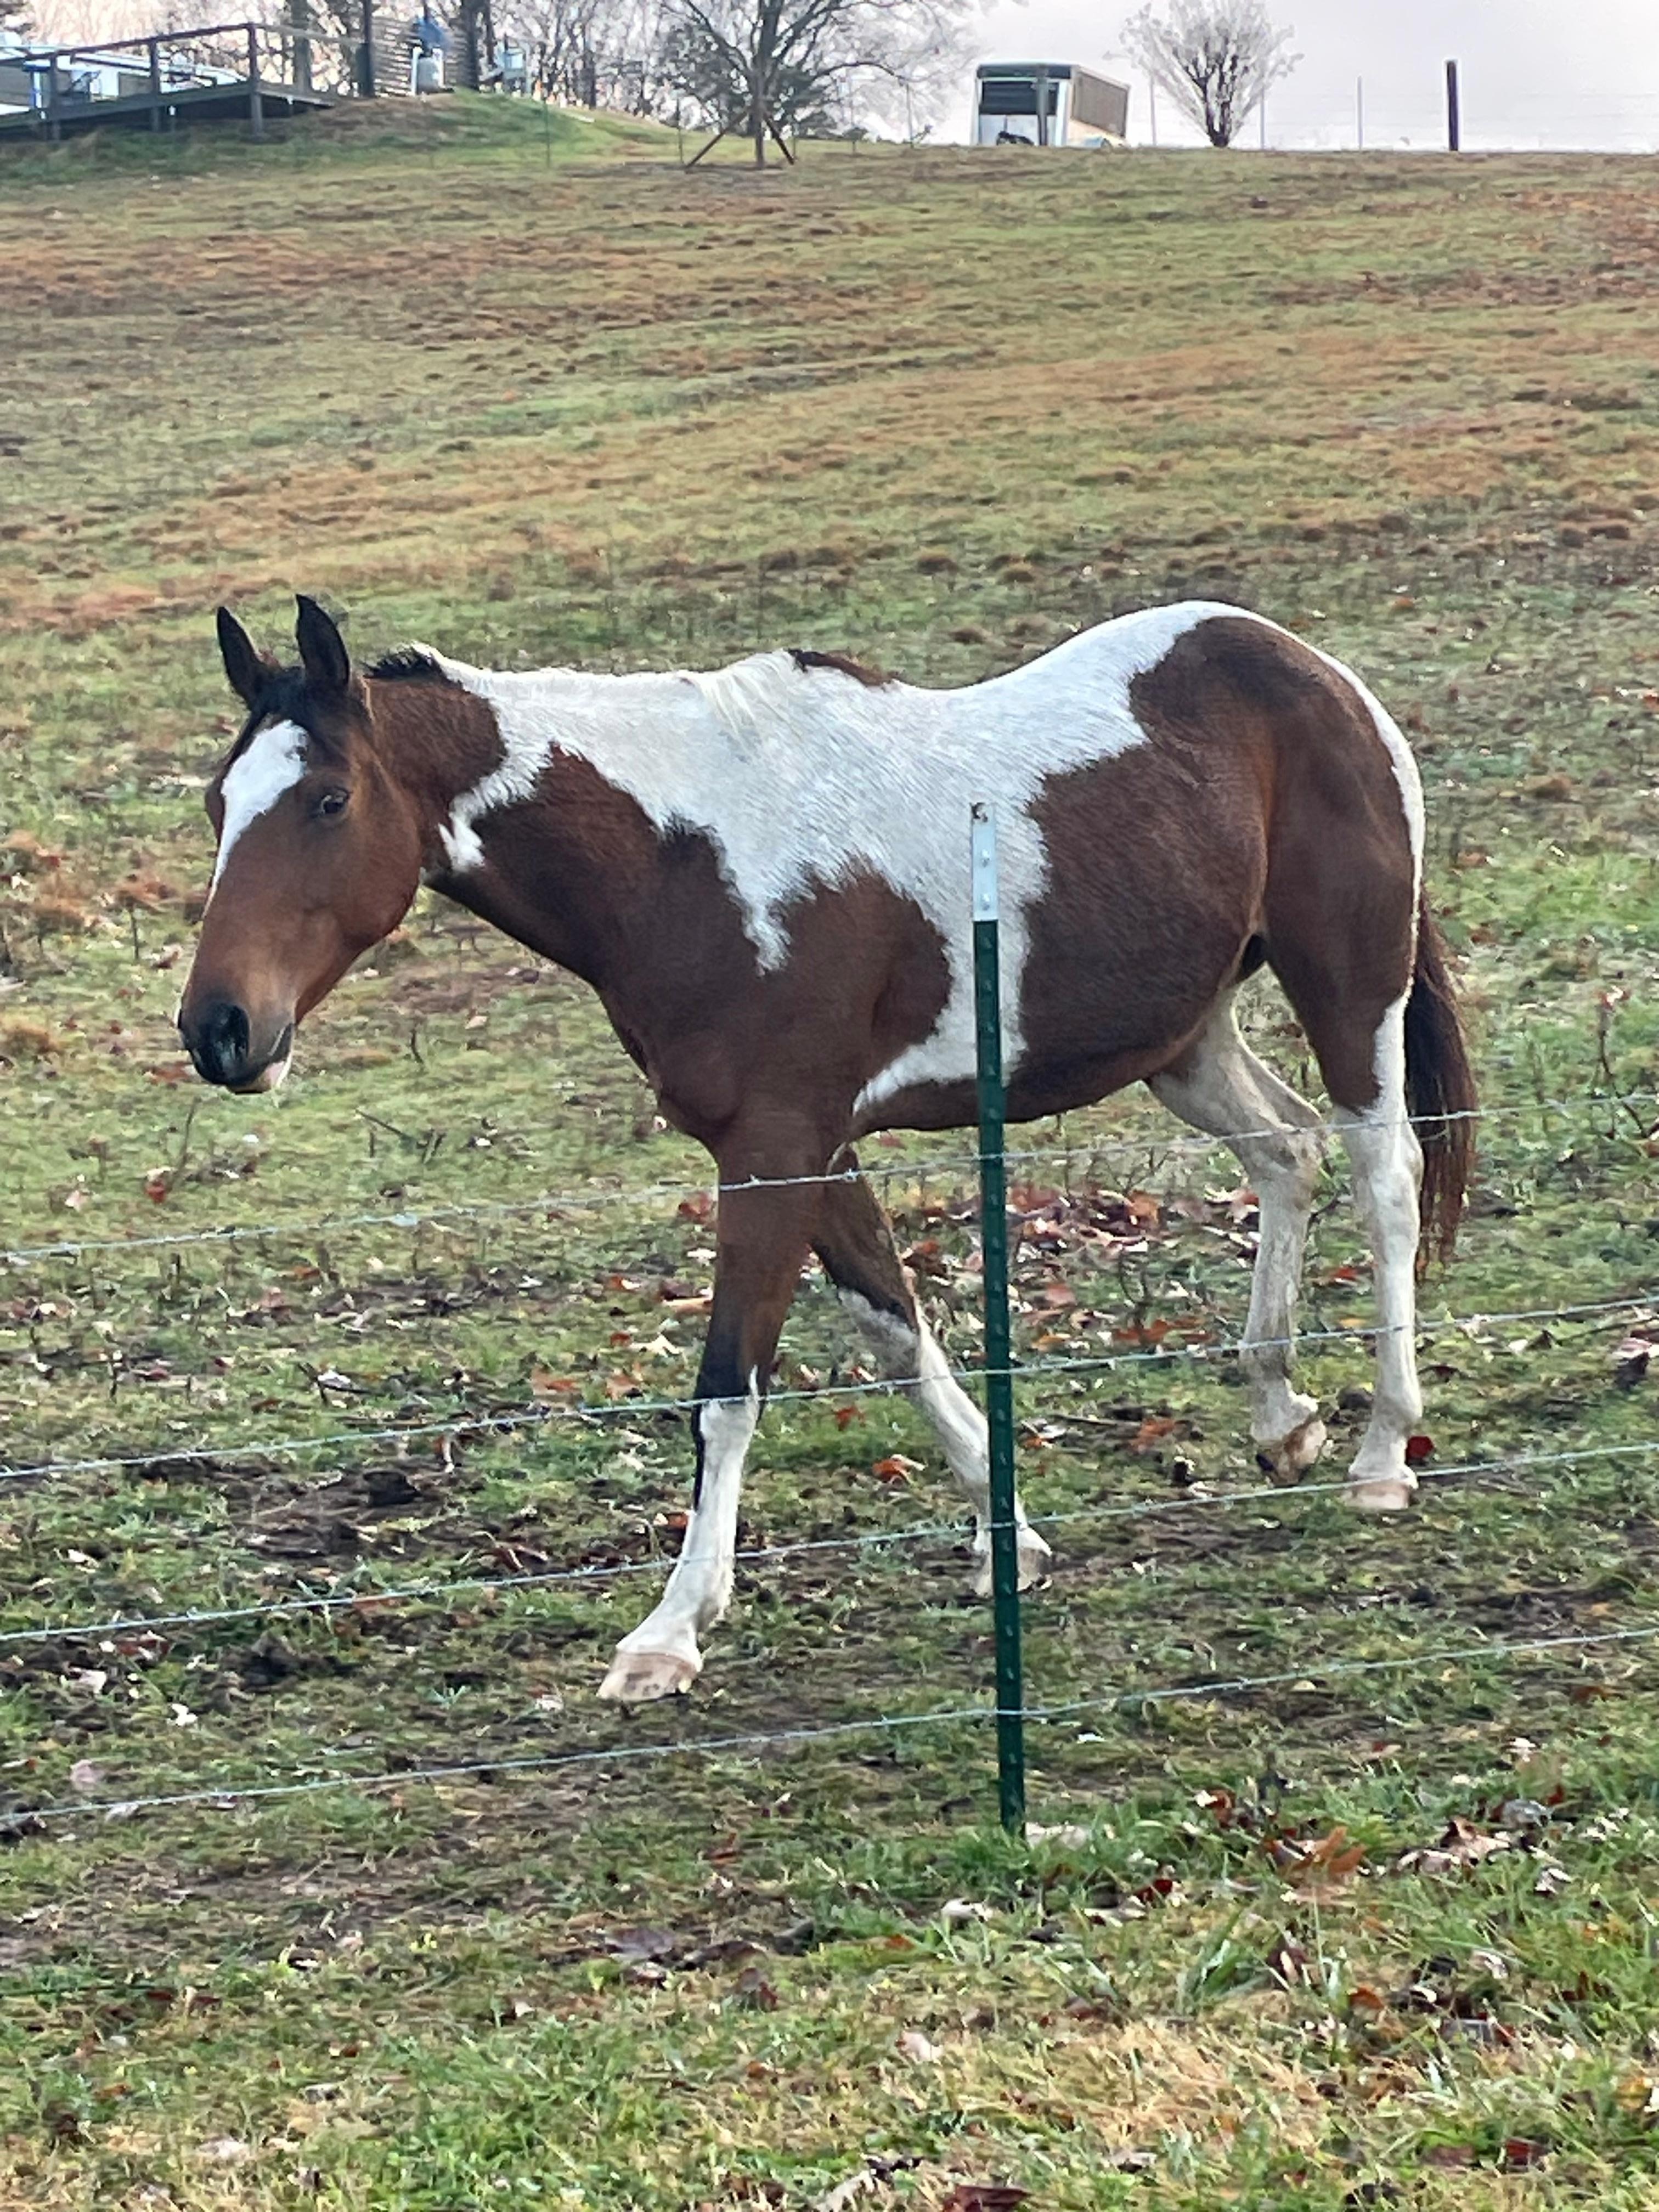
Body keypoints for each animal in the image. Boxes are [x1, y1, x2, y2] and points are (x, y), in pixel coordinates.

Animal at [179, 595, 1476, 1704]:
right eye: (216, 805)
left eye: (328, 801)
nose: (220, 1029)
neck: (684, 859)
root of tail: (1311, 669)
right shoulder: (815, 1147)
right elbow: (897, 1336)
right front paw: (1008, 1536)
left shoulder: (773, 1149)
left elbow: (727, 1390)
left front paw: (671, 1630)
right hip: (1184, 1038)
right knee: (1286, 1152)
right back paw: (1278, 1413)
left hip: (1347, 989)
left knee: (1384, 1178)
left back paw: (1382, 1452)